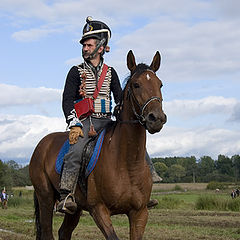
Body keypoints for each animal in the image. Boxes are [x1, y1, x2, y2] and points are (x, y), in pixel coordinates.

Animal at [29, 49, 166, 239]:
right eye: (136, 85)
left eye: (160, 84)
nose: (157, 118)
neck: (127, 162)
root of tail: (42, 144)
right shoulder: (99, 209)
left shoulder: (140, 213)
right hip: (46, 199)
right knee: (48, 232)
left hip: (75, 208)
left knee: (64, 231)